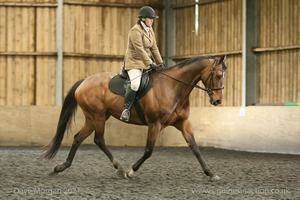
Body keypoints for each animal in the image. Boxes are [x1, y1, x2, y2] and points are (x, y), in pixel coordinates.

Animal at [43, 54, 227, 181]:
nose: (217, 101)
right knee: (99, 140)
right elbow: (148, 151)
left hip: (92, 118)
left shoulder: (183, 123)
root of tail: (84, 81)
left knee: (78, 138)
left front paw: (211, 173)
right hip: (98, 117)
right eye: (218, 76)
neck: (173, 87)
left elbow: (195, 147)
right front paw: (131, 171)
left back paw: (61, 167)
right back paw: (120, 169)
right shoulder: (154, 124)